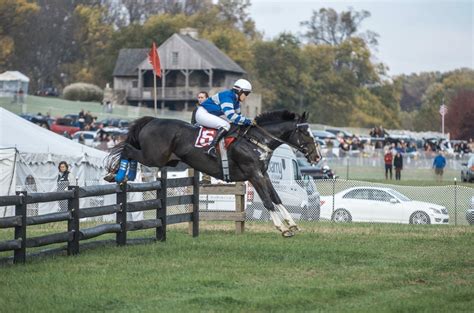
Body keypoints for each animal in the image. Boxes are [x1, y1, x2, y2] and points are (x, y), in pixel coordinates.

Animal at [106, 110, 322, 236]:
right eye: (305, 132)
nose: (316, 156)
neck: (256, 140)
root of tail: (152, 120)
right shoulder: (253, 174)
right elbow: (268, 201)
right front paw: (282, 228)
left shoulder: (263, 174)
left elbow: (277, 198)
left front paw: (292, 224)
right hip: (154, 157)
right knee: (127, 149)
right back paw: (119, 175)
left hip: (165, 159)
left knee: (130, 151)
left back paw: (123, 175)